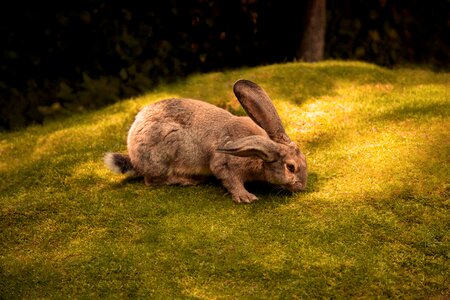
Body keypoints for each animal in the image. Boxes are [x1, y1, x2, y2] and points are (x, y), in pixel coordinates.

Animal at [104, 78, 308, 203]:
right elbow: (230, 179)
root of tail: (134, 155)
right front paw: (246, 197)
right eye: (291, 167)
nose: (302, 186)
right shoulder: (224, 164)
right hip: (165, 149)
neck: (259, 153)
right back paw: (187, 181)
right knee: (153, 180)